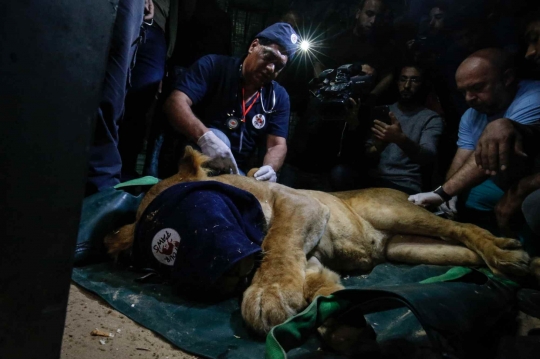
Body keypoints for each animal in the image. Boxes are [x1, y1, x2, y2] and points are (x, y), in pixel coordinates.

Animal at [105, 147, 536, 340]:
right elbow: (322, 290)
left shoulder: (301, 205)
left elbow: (277, 242)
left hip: (398, 213)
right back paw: (524, 266)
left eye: (197, 204)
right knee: (467, 252)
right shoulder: (311, 259)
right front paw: (341, 324)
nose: (226, 275)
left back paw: (508, 254)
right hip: (409, 247)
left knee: (465, 229)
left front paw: (268, 294)